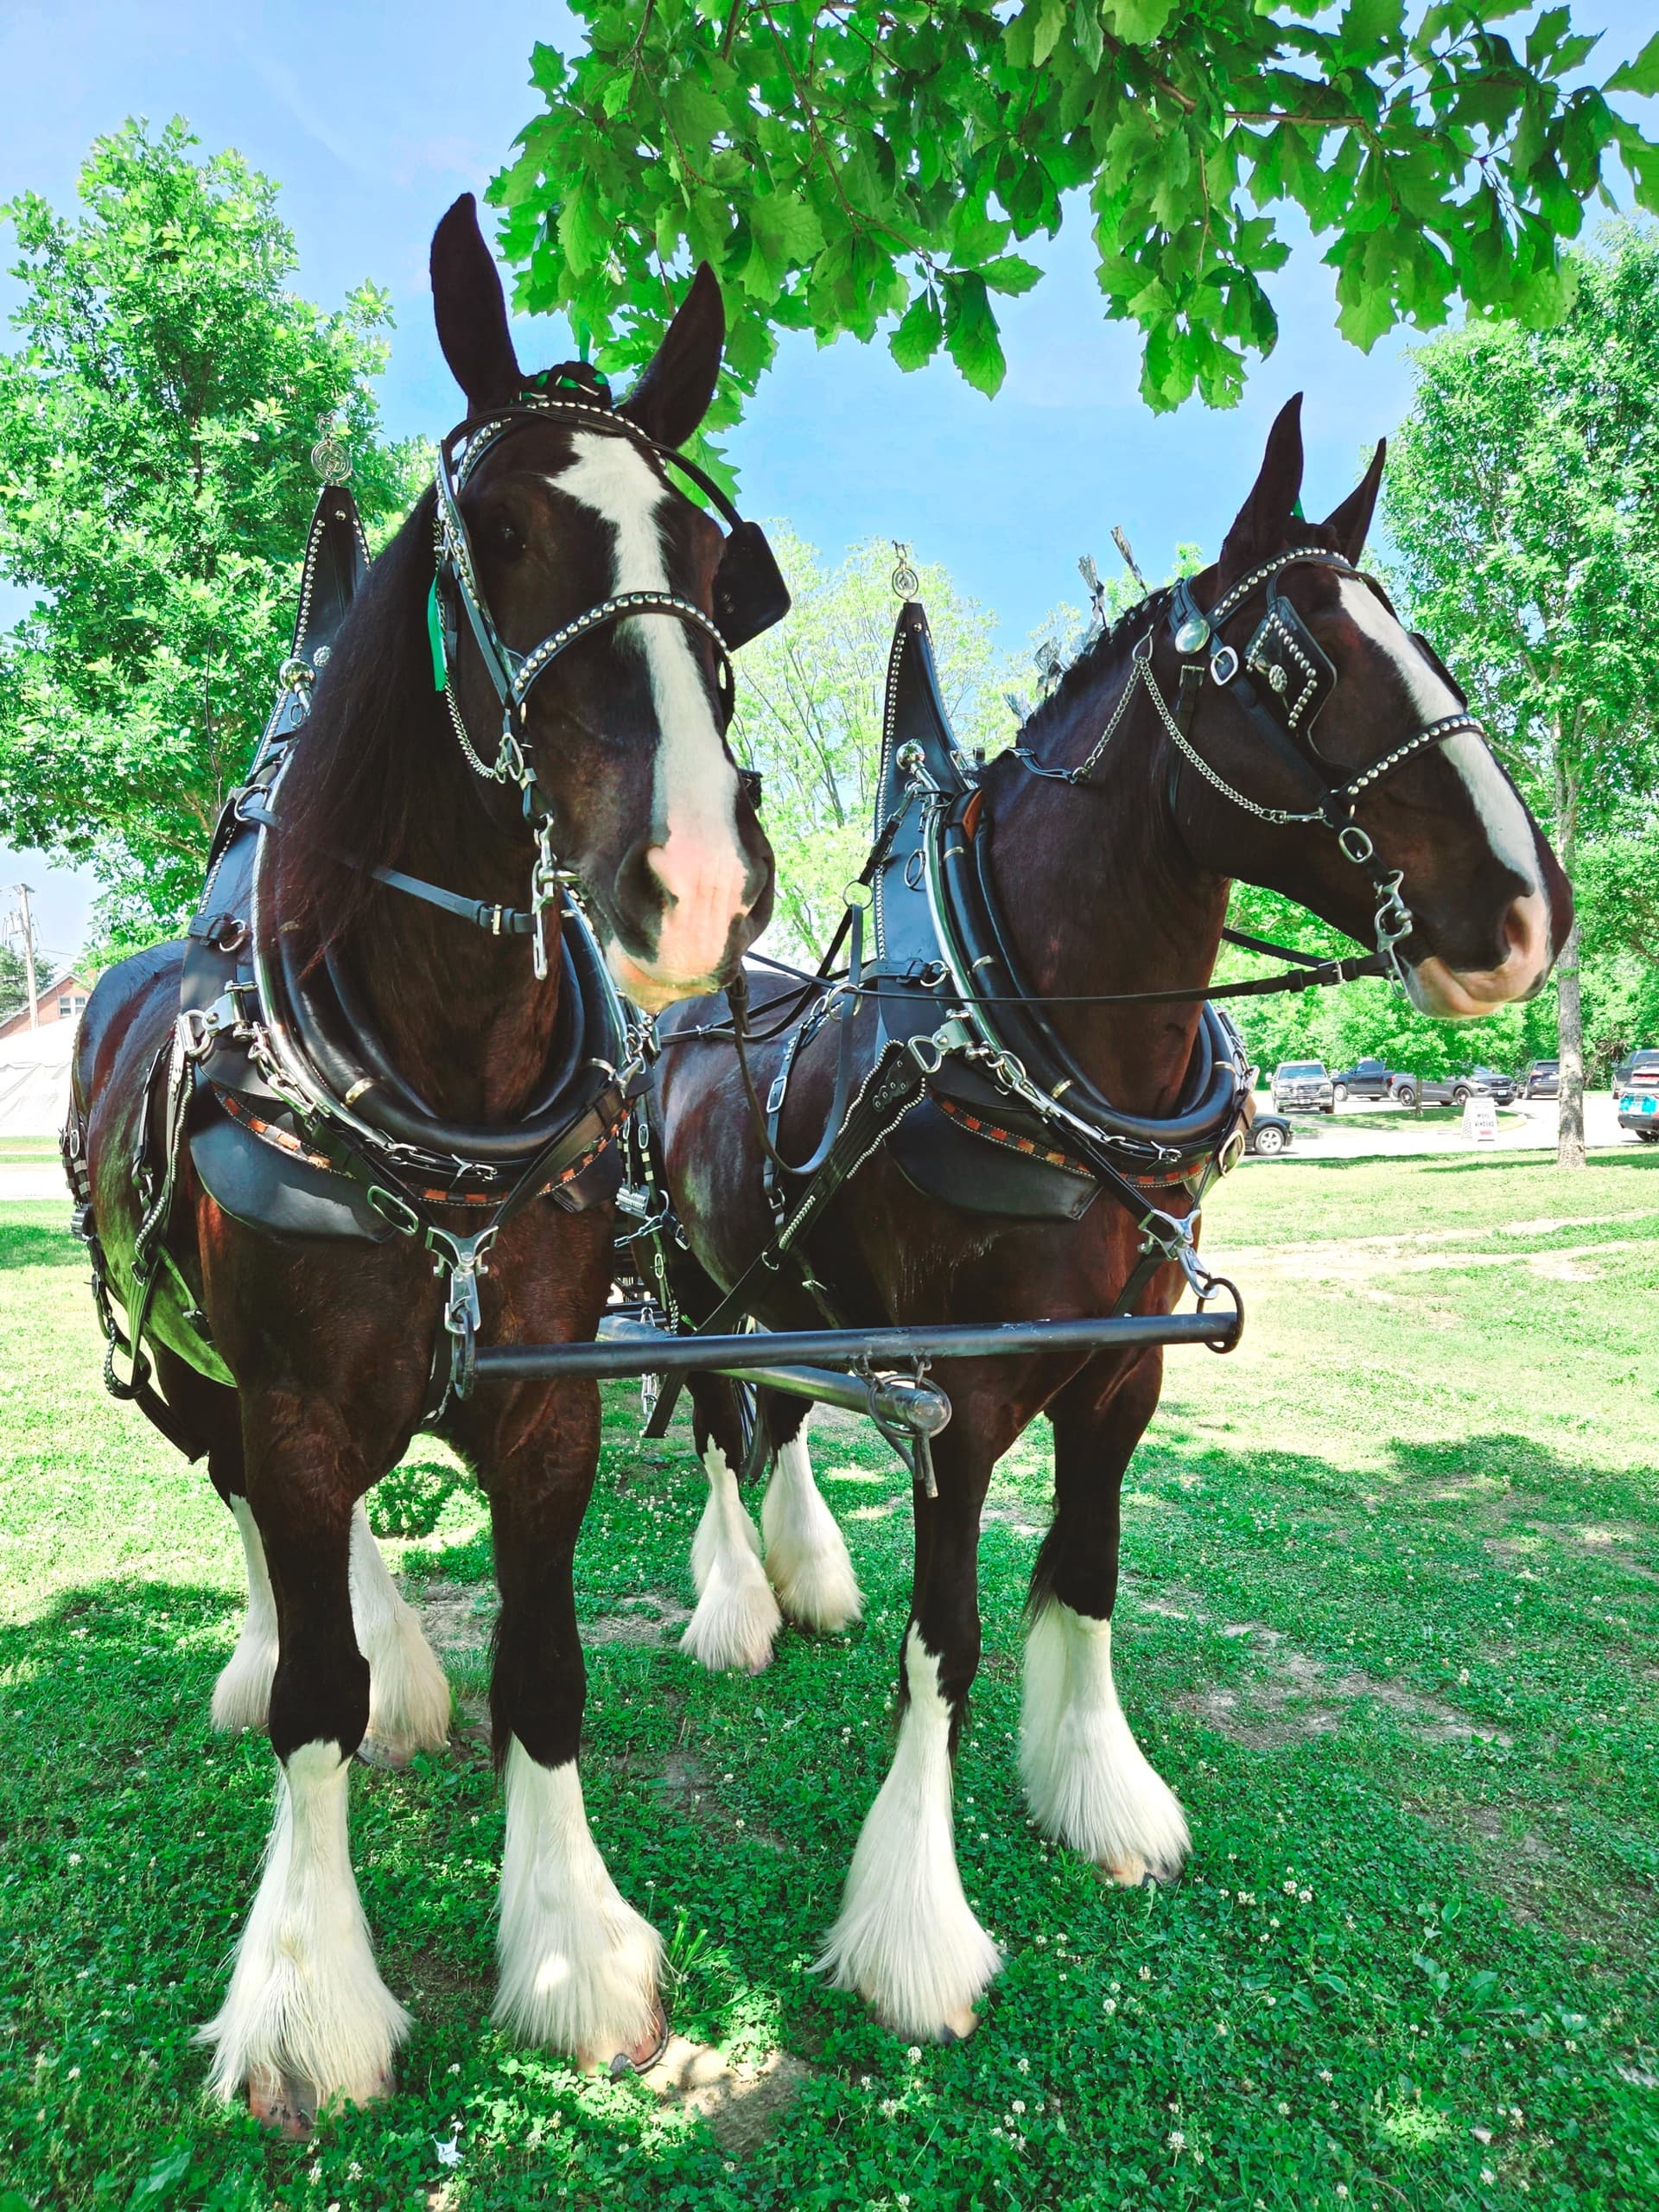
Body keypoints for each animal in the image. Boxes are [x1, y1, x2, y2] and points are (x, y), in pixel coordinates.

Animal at [69, 195, 774, 2126]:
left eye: (711, 556)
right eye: (506, 531)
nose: (697, 873)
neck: (432, 1072)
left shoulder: (544, 1405)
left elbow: (547, 1667)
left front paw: (575, 1951)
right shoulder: (299, 1399)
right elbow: (308, 1686)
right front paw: (309, 1993)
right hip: (185, 1369)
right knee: (248, 1513)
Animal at [647, 397, 1573, 2045]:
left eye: (1424, 640)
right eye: (1292, 666)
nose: (1531, 914)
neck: (1029, 1046)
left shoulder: (1121, 1376)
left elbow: (1083, 1578)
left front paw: (1099, 1800)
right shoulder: (953, 1403)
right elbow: (945, 1640)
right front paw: (915, 1927)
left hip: (792, 1287)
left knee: (786, 1413)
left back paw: (803, 1575)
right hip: (694, 1287)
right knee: (709, 1419)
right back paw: (737, 1605)